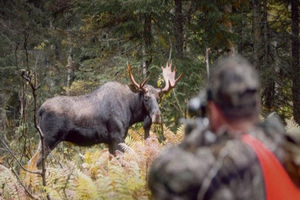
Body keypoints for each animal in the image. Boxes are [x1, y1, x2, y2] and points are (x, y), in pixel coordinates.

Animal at [28, 61, 183, 167]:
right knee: (33, 164)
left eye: (159, 98)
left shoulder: (109, 140)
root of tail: (40, 110)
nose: (157, 116)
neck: (131, 111)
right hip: (49, 138)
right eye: (146, 97)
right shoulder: (117, 136)